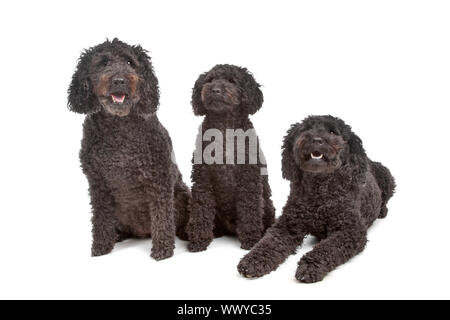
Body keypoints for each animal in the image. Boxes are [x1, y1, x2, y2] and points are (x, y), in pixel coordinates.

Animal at [185, 63, 276, 251]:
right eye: (209, 80)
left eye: (232, 81)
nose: (215, 90)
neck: (224, 128)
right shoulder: (202, 179)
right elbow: (201, 209)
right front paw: (198, 240)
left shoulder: (249, 179)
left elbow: (249, 210)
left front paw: (250, 239)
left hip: (267, 205)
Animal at [237, 115, 396, 282]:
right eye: (307, 129)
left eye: (333, 132)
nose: (316, 140)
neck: (318, 192)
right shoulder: (287, 225)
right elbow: (268, 243)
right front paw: (253, 260)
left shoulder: (350, 230)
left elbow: (327, 248)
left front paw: (310, 266)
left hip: (386, 175)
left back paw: (382, 211)